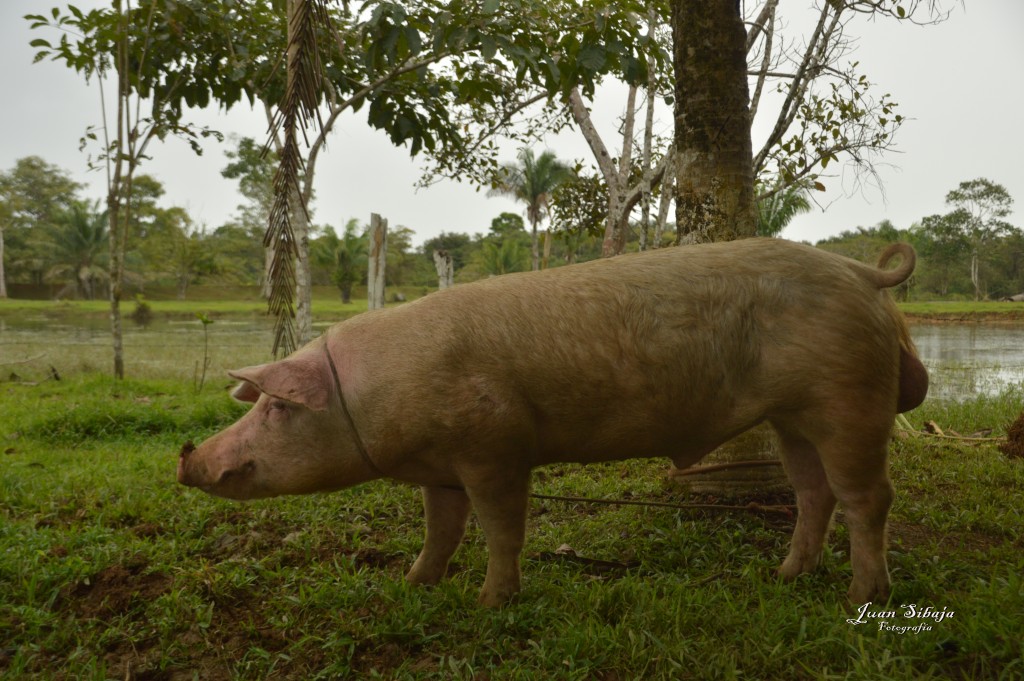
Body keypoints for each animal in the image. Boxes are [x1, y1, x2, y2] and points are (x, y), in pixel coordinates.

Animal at [176, 237, 929, 606]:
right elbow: (441, 529)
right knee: (813, 491)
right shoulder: (441, 469)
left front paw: (491, 603)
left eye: (277, 406)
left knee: (869, 496)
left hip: (846, 397)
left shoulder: (494, 445)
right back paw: (784, 577)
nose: (188, 457)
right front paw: (412, 585)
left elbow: (502, 527)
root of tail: (864, 274)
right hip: (790, 416)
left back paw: (861, 596)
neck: (373, 392)